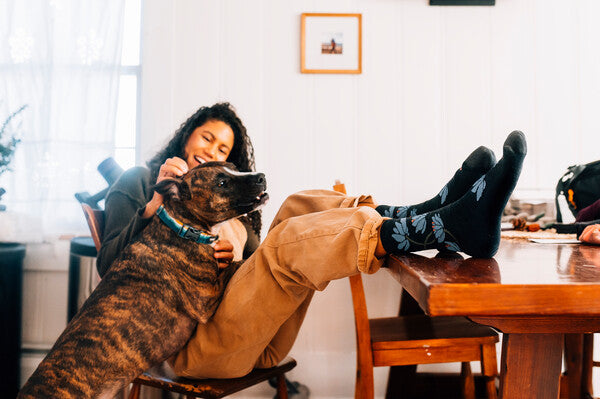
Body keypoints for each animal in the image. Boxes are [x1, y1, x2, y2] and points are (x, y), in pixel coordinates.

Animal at [18, 162, 268, 399]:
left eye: (235, 168)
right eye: (222, 183)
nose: (261, 177)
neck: (183, 227)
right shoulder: (206, 298)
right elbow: (238, 262)